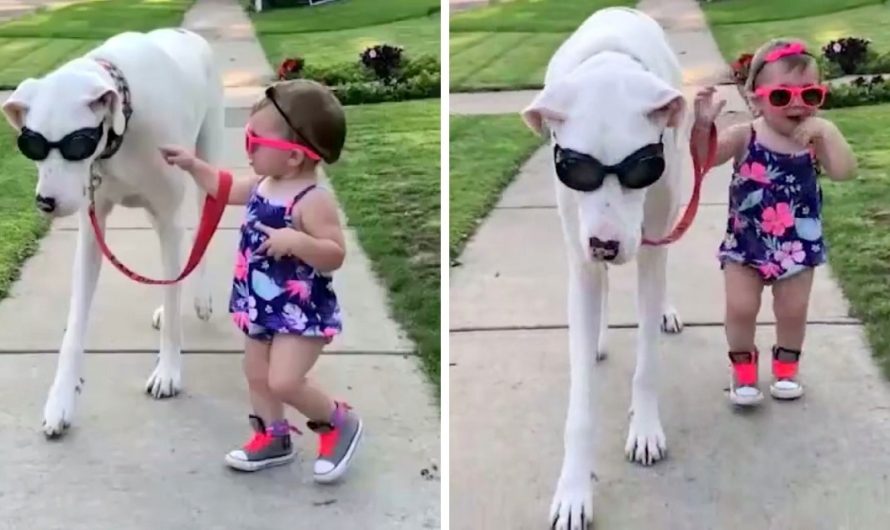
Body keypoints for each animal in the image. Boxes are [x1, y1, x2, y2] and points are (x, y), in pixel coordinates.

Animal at [2, 25, 225, 438]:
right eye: (31, 144)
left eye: (77, 143)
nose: (45, 202)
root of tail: (186, 31)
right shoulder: (94, 231)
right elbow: (75, 326)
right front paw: (60, 400)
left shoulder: (167, 214)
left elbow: (173, 301)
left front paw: (168, 371)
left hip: (207, 166)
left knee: (200, 235)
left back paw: (201, 299)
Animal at [520, 5, 688, 528]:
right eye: (574, 167)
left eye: (642, 167)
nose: (605, 244)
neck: (608, 72)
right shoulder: (580, 258)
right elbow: (580, 408)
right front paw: (574, 489)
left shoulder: (650, 243)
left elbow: (647, 362)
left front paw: (646, 428)